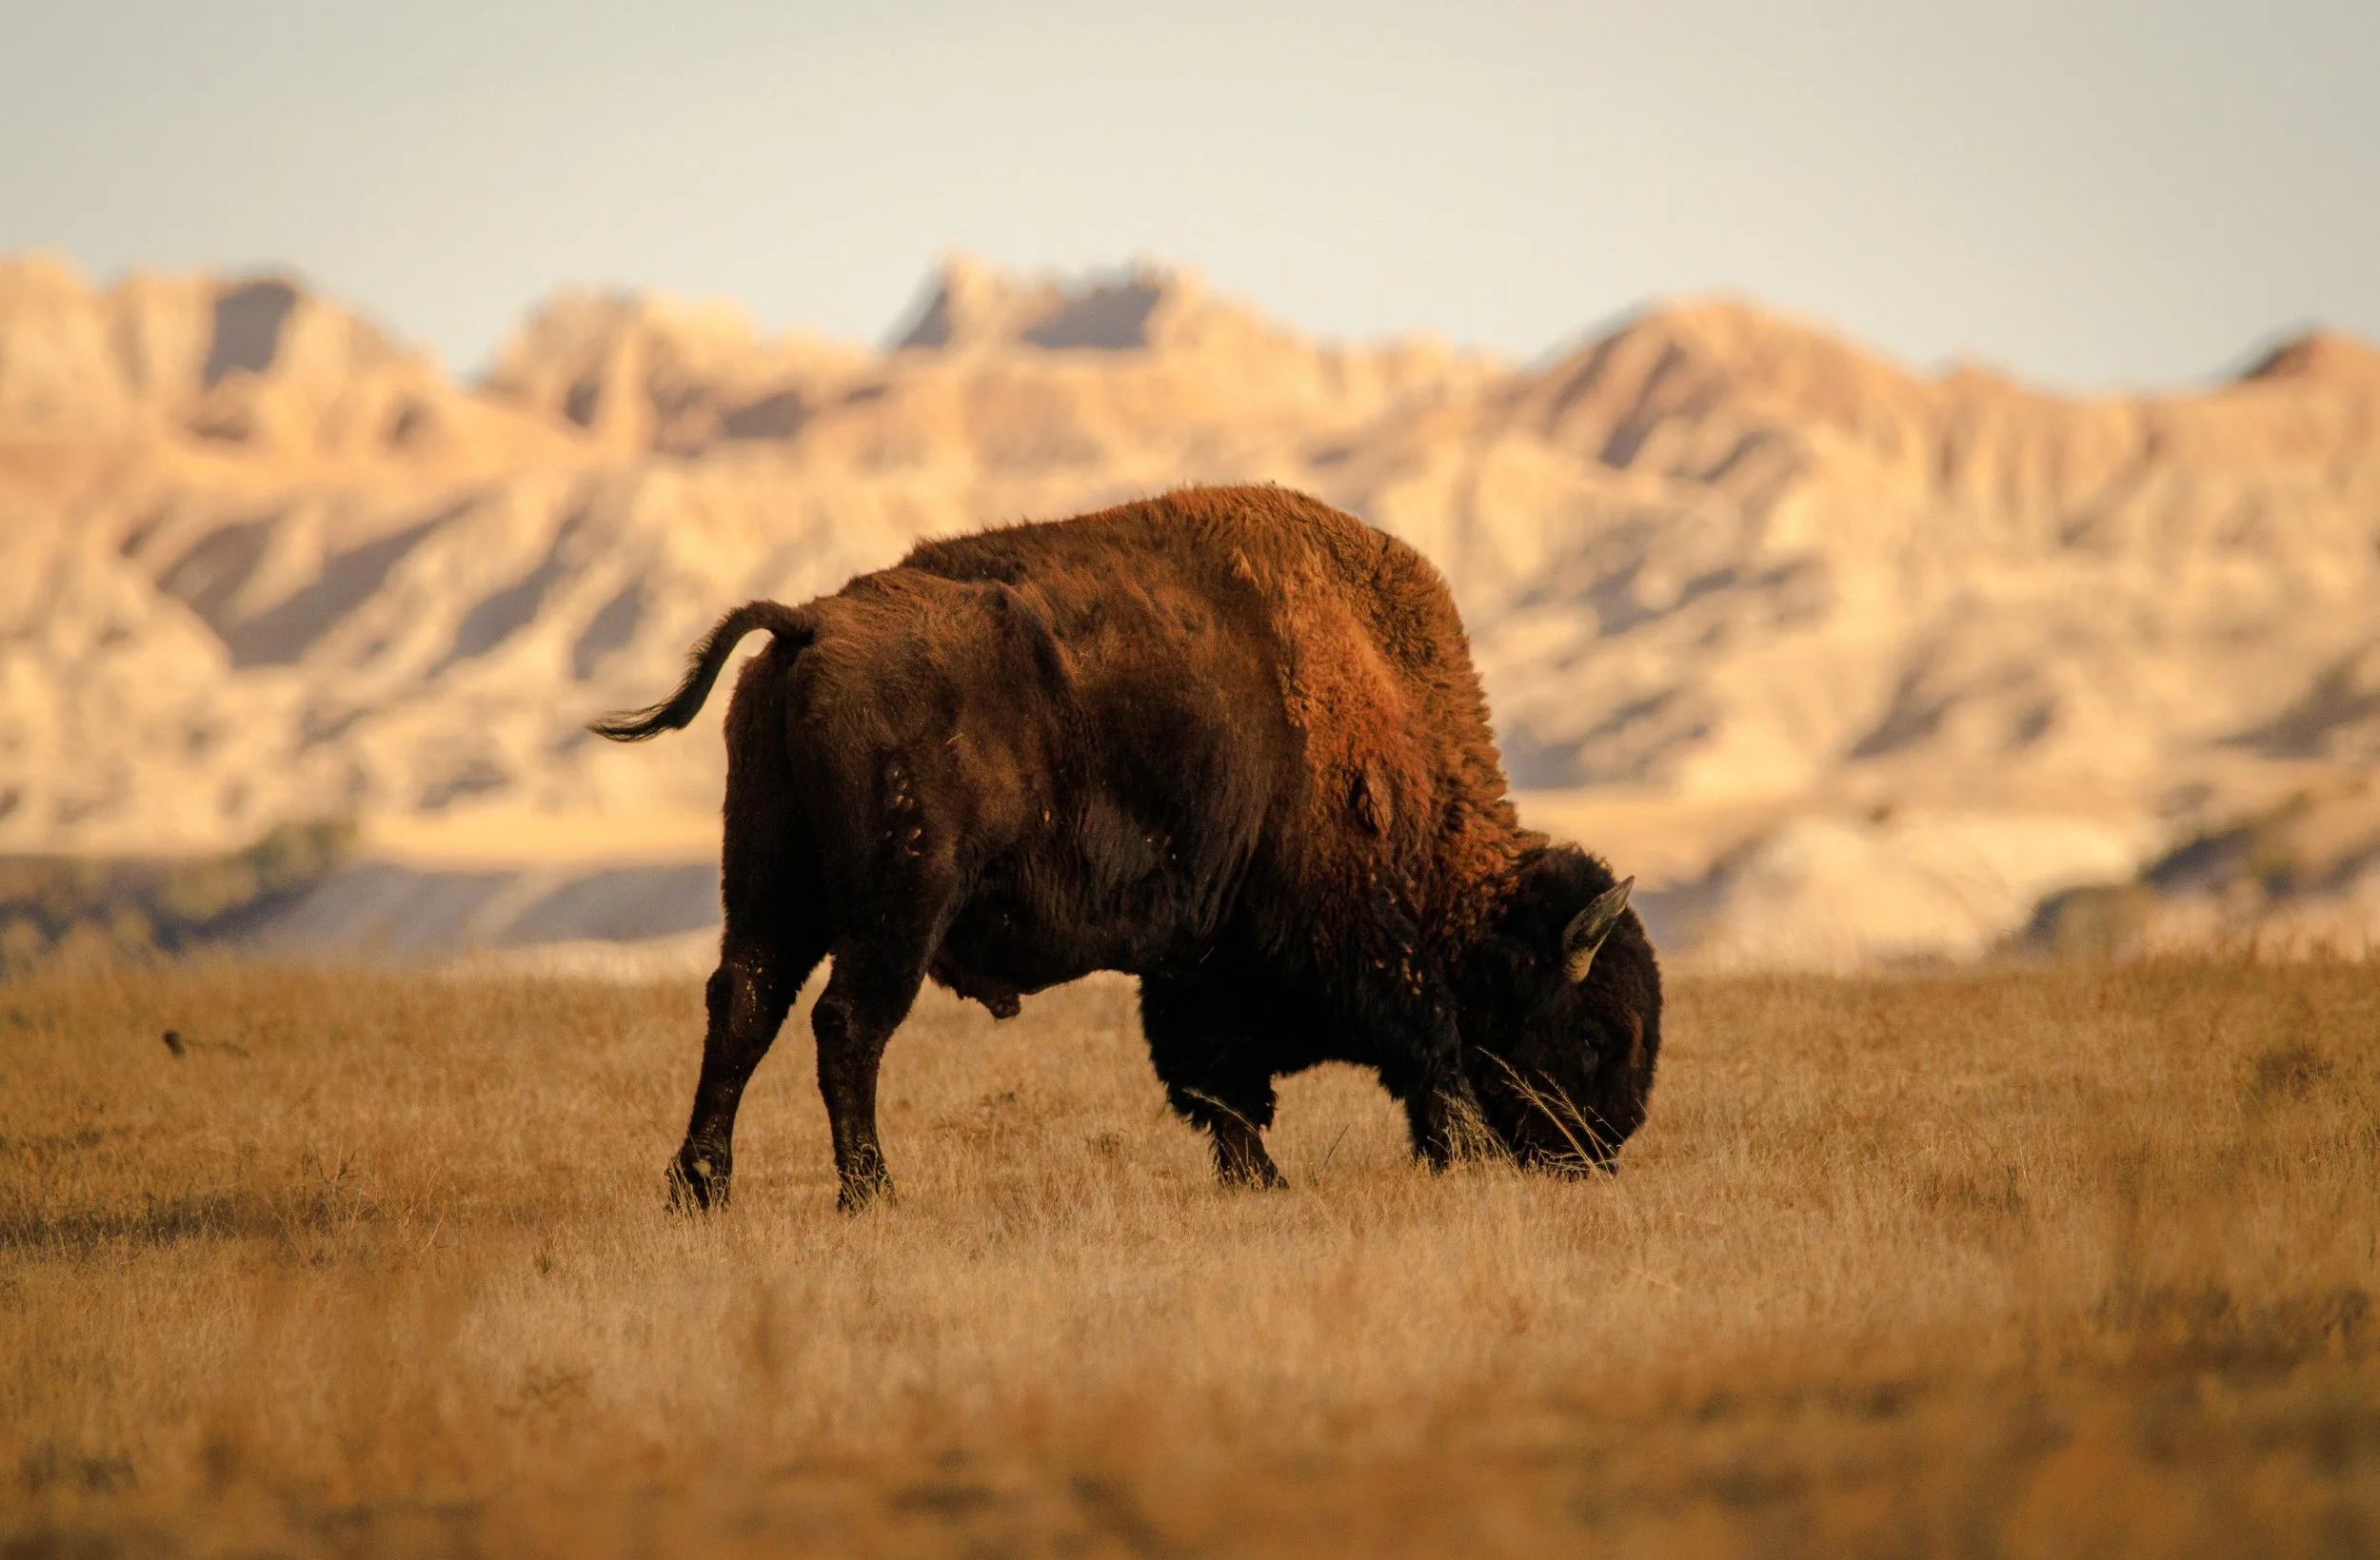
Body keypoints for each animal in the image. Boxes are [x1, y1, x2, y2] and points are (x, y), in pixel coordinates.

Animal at [594, 484, 1660, 1210]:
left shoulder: (1199, 960)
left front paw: (1257, 1179)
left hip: (771, 882)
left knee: (742, 1004)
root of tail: (810, 623)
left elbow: (1215, 1078)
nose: (1600, 1151)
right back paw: (871, 1193)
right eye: (1596, 1031)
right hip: (897, 901)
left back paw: (700, 1189)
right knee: (846, 1025)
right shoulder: (1352, 941)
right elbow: (1417, 1045)